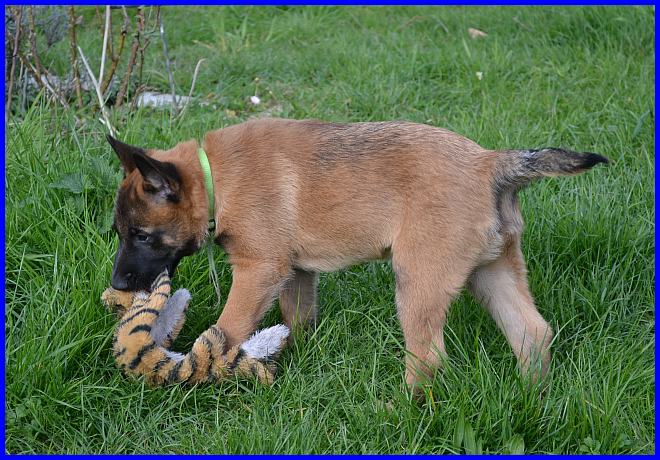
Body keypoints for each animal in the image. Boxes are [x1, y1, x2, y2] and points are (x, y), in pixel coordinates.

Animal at [107, 118, 608, 390]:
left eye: (142, 236)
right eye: (120, 233)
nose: (117, 286)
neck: (215, 178)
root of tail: (490, 163)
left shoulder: (258, 270)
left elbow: (226, 330)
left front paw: (199, 369)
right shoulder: (296, 272)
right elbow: (297, 318)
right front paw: (289, 353)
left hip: (418, 280)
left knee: (428, 357)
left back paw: (401, 410)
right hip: (493, 271)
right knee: (532, 332)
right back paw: (532, 397)